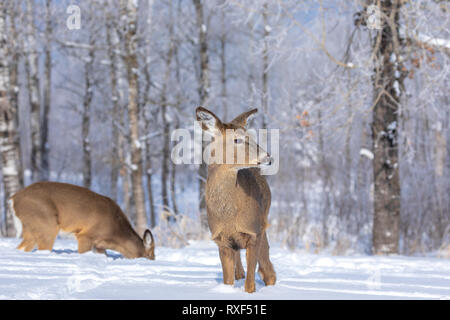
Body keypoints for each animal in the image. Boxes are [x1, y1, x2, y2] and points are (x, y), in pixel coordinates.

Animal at [9, 181, 156, 258]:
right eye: (151, 254)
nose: (153, 261)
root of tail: (14, 198)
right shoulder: (85, 236)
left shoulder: (98, 245)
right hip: (47, 225)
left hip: (31, 228)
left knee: (21, 248)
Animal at [198, 107, 278, 292]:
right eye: (237, 139)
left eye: (251, 136)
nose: (268, 158)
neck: (228, 215)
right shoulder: (221, 240)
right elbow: (228, 280)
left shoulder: (254, 231)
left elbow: (250, 284)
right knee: (241, 270)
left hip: (263, 221)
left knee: (267, 269)